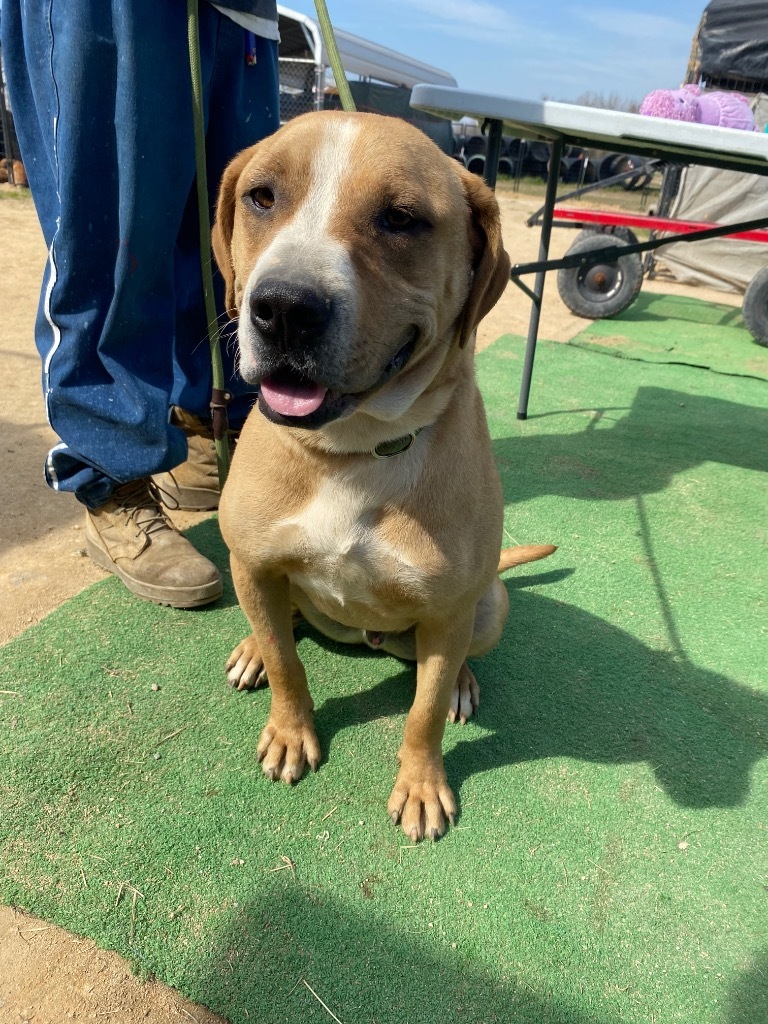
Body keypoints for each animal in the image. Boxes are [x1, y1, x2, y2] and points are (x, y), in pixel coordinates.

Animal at [214, 112, 557, 843]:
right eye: (261, 197)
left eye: (401, 218)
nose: (285, 308)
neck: (353, 451)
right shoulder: (252, 563)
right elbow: (287, 663)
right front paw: (290, 728)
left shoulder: (451, 610)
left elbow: (422, 713)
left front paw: (423, 784)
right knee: (278, 624)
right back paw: (252, 645)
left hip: (491, 604)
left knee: (455, 659)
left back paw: (463, 684)